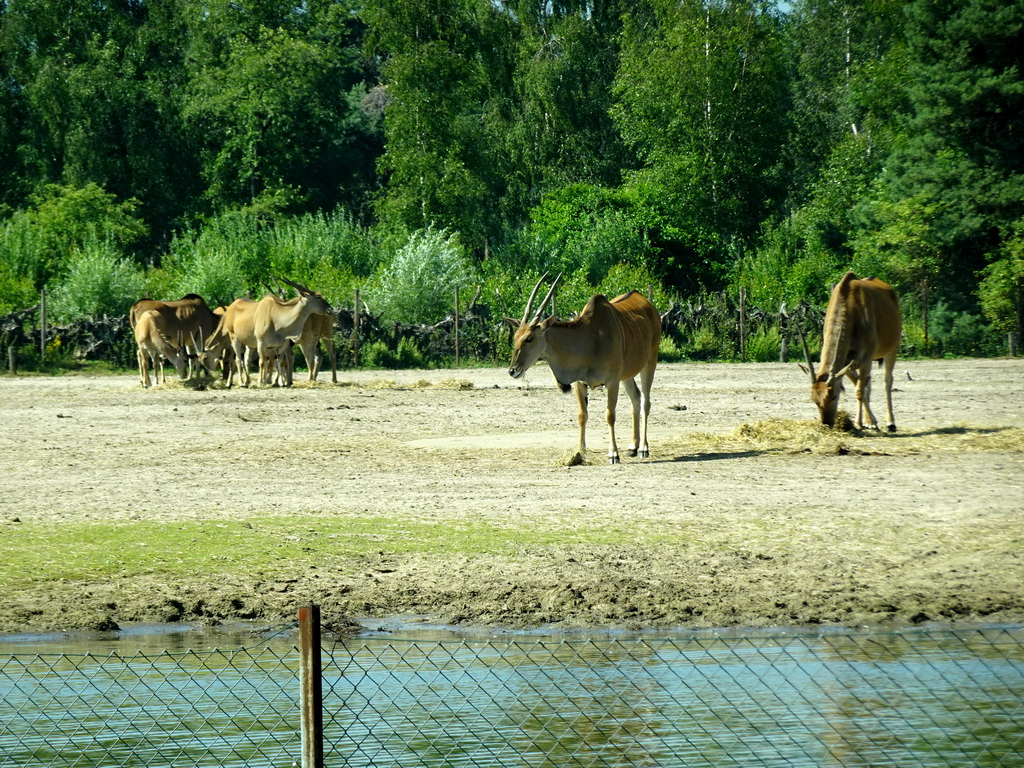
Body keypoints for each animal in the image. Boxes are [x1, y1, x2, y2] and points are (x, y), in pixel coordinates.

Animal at [505, 278, 663, 468]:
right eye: (515, 338)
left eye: (529, 338)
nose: (513, 370)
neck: (590, 338)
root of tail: (649, 306)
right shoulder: (578, 383)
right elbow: (582, 415)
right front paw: (580, 451)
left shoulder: (612, 382)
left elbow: (610, 415)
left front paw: (613, 454)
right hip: (627, 374)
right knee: (636, 398)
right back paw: (632, 447)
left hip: (650, 362)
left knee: (645, 402)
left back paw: (643, 449)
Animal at [794, 272, 901, 434]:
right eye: (814, 400)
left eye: (834, 396)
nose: (827, 424)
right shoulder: (847, 363)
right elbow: (860, 386)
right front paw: (870, 422)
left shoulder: (865, 360)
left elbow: (859, 391)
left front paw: (860, 423)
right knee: (867, 383)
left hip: (891, 350)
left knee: (887, 381)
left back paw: (891, 423)